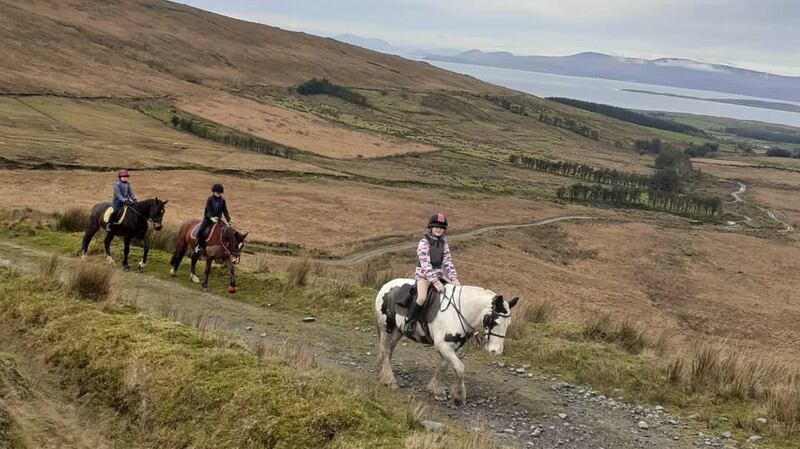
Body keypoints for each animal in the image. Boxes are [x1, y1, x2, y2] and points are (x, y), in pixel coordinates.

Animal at [376, 278, 520, 404]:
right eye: (495, 321)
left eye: (508, 324)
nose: (496, 351)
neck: (460, 311)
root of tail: (386, 285)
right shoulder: (443, 345)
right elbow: (460, 368)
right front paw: (459, 396)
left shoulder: (450, 347)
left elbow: (443, 367)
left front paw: (436, 390)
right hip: (386, 328)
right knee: (385, 351)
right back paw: (389, 380)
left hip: (397, 331)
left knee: (389, 350)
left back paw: (383, 373)